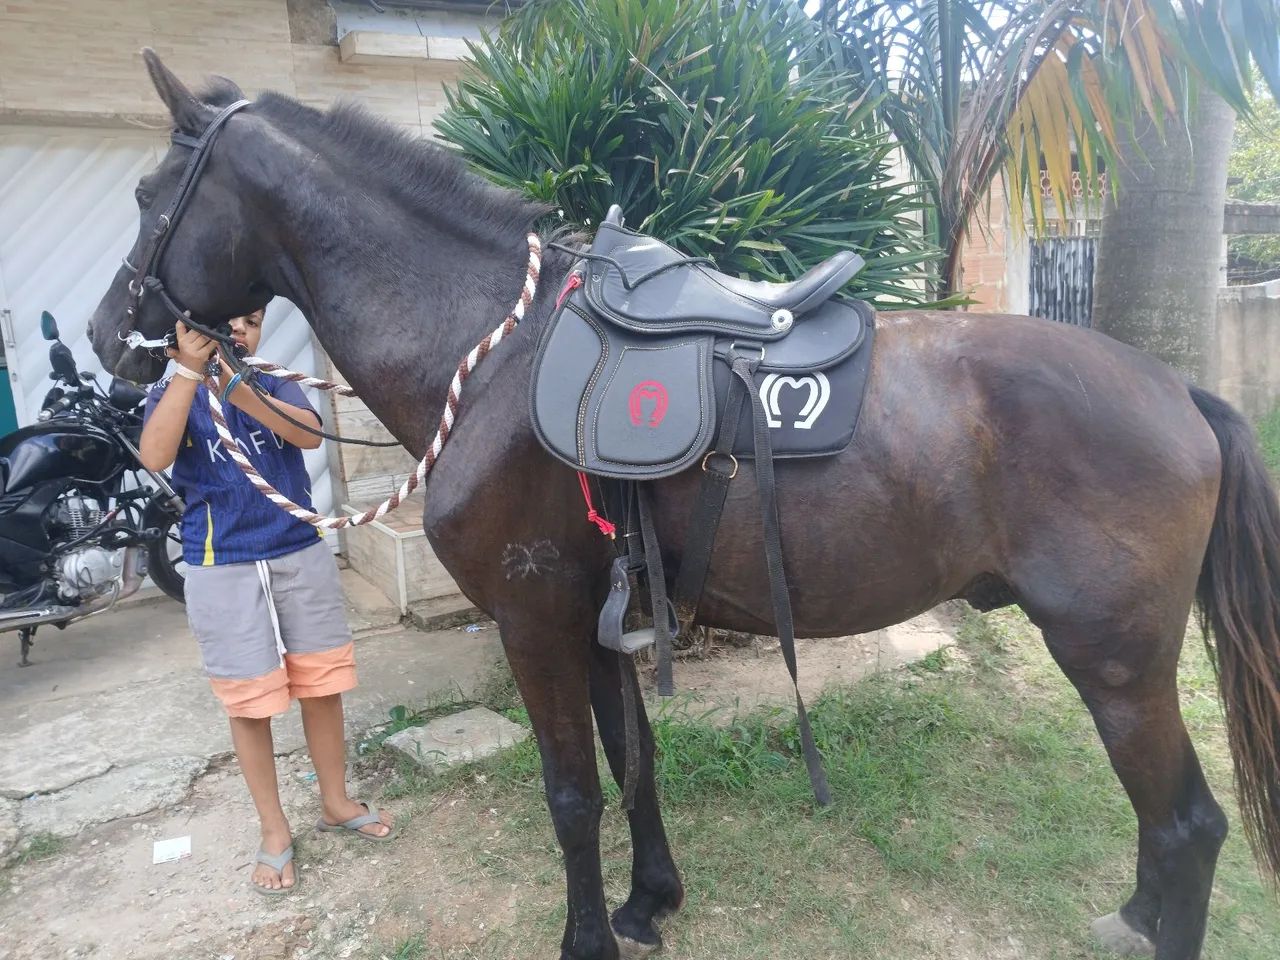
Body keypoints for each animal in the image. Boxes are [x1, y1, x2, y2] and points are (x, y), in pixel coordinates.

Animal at [88, 53, 1280, 960]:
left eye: (149, 198)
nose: (107, 337)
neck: (493, 350)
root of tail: (1177, 389)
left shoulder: (533, 623)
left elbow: (571, 793)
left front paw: (585, 940)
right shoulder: (598, 618)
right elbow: (635, 763)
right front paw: (646, 901)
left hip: (1114, 659)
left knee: (1186, 823)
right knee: (1164, 822)